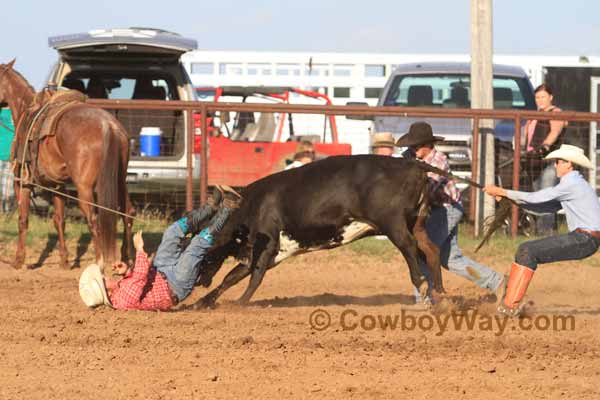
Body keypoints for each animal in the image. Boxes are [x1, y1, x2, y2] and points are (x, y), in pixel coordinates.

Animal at [0, 60, 132, 268]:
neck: (25, 109)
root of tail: (108, 125)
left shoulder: (22, 182)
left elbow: (23, 219)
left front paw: (18, 260)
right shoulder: (58, 186)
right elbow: (59, 220)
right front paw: (64, 260)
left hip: (84, 187)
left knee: (93, 219)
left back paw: (100, 263)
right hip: (119, 180)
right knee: (127, 213)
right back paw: (128, 259)